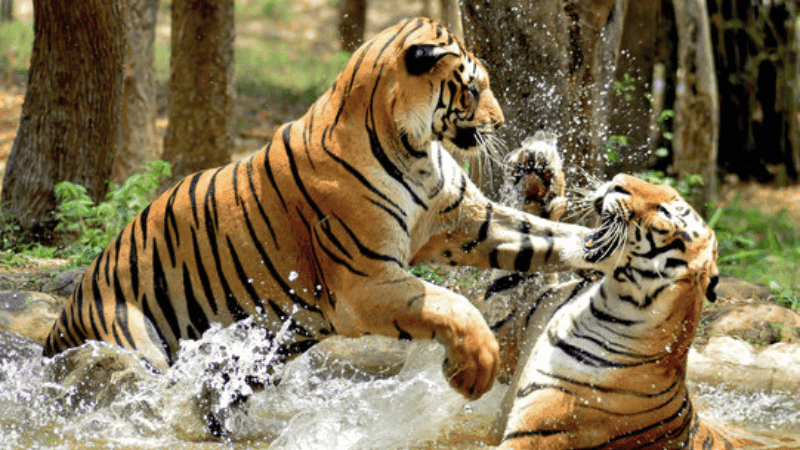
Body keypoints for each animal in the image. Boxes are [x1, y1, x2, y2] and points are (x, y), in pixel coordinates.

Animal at [43, 17, 599, 407]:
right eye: (476, 87)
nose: (500, 122)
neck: (414, 147)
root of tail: (65, 315)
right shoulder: (365, 282)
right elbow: (451, 304)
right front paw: (472, 372)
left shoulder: (469, 222)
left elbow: (551, 236)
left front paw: (606, 247)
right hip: (137, 350)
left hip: (250, 359)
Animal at [481, 138, 744, 450]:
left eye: (666, 213)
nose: (617, 182)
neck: (598, 297)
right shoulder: (511, 337)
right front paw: (540, 171)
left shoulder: (543, 428)